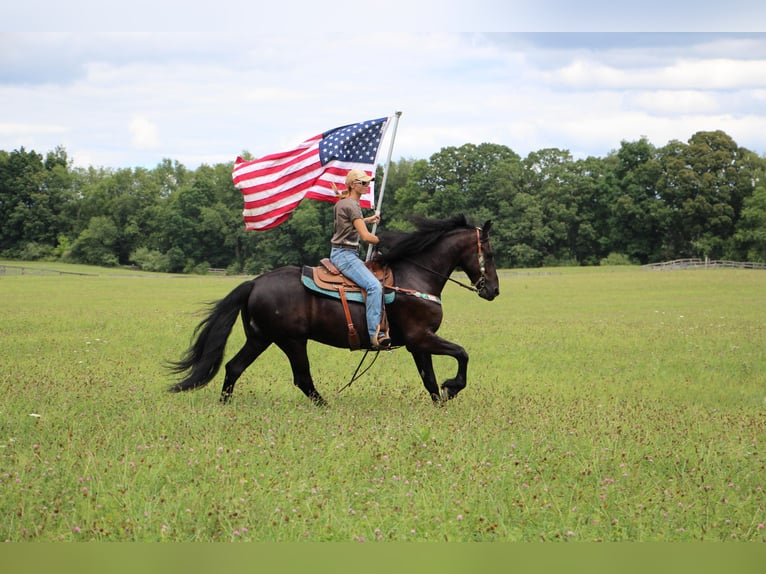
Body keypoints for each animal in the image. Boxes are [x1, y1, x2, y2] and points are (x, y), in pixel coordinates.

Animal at [169, 214, 500, 408]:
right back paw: (325, 407)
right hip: (291, 341)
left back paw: (224, 405)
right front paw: (452, 387)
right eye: (490, 252)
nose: (493, 290)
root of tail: (254, 283)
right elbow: (461, 354)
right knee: (302, 379)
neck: (415, 277)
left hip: (261, 339)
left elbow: (429, 379)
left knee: (233, 367)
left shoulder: (418, 343)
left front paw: (440, 403)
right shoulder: (421, 338)